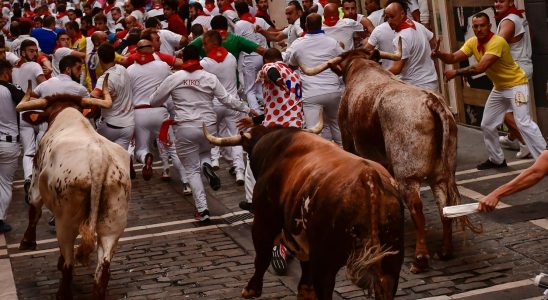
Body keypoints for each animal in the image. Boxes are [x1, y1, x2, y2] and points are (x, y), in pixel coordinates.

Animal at [16, 76, 131, 298]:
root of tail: (98, 159)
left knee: (69, 260)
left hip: (66, 220)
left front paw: (27, 241)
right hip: (114, 221)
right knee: (103, 267)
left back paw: (62, 292)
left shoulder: (35, 181)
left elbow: (34, 209)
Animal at [203, 118, 404, 300]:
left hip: (325, 261)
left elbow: (262, 256)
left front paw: (251, 290)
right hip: (392, 259)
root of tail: (368, 176)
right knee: (385, 287)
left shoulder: (264, 221)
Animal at [300, 43, 480, 274]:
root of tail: (429, 100)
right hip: (440, 173)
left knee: (417, 208)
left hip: (408, 174)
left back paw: (420, 258)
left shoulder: (350, 142)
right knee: (444, 206)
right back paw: (445, 250)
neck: (362, 67)